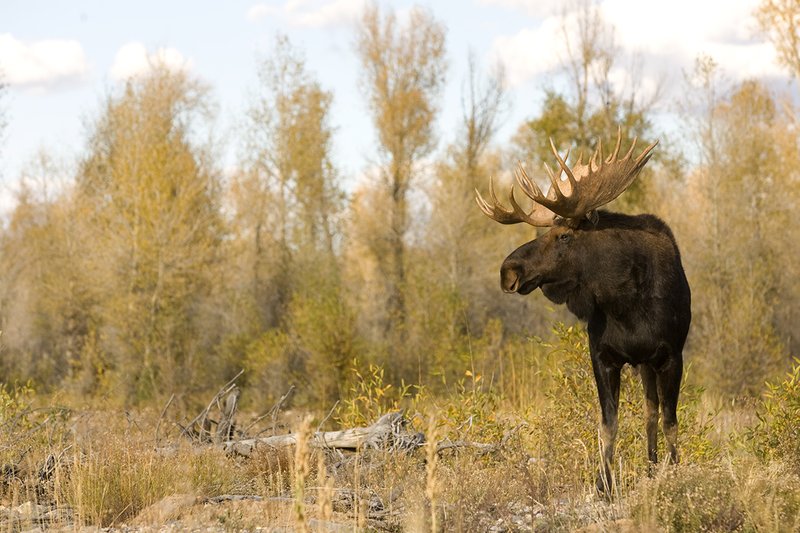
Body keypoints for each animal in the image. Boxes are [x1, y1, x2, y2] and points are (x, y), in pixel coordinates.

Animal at [475, 130, 691, 493]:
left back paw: (654, 467)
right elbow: (608, 424)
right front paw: (604, 485)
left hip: (651, 363)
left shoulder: (672, 355)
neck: (625, 304)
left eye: (563, 235)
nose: (508, 270)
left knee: (653, 413)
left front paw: (676, 474)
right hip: (642, 365)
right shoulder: (602, 356)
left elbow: (670, 422)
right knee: (648, 412)